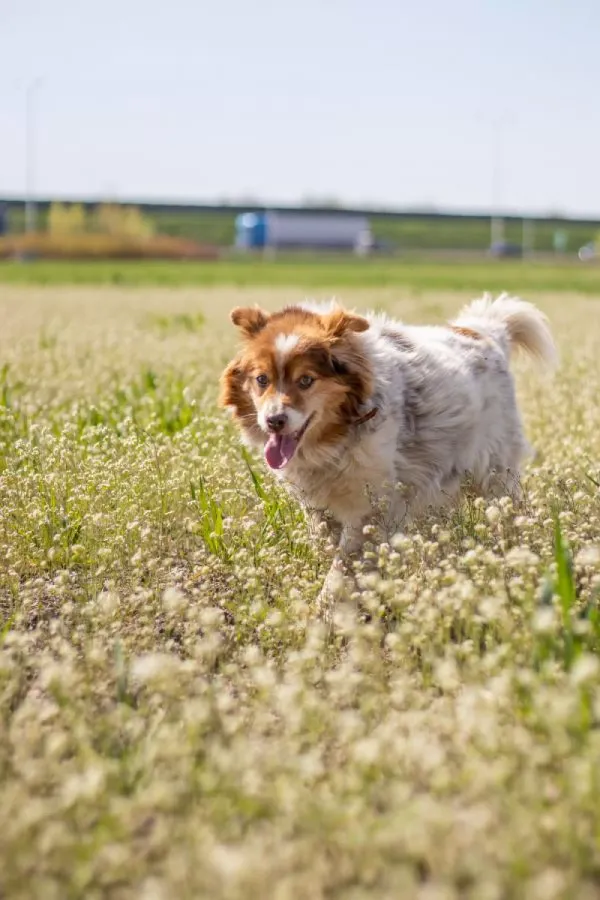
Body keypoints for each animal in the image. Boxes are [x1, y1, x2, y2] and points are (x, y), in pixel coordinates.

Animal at [220, 296, 556, 596]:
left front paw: (329, 610)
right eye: (262, 379)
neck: (335, 436)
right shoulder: (318, 506)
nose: (274, 420)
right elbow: (328, 545)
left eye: (306, 380)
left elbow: (343, 567)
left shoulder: (370, 506)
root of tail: (485, 330)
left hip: (495, 475)